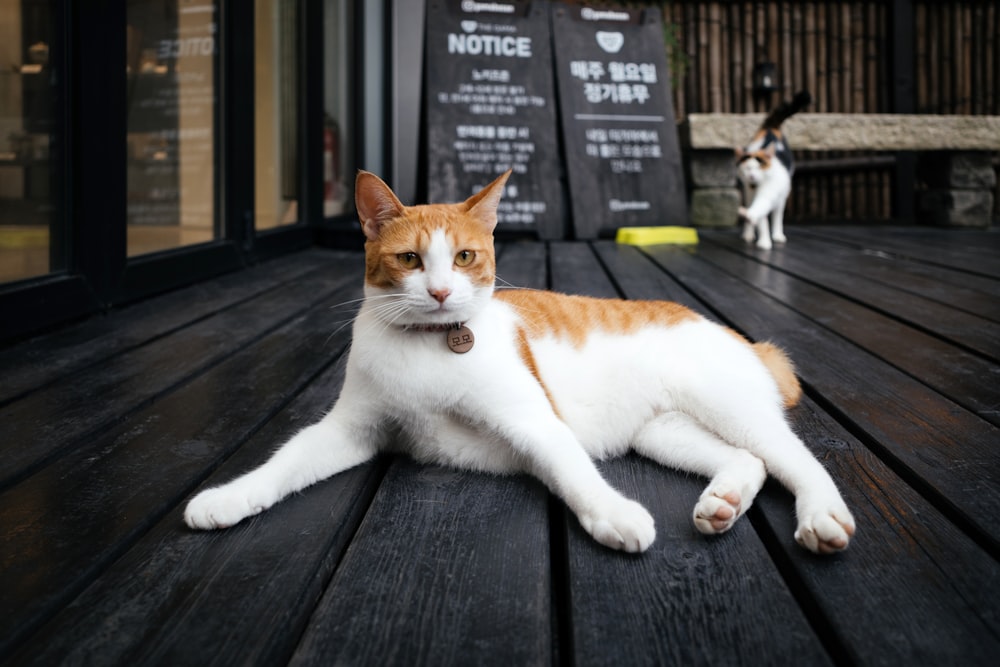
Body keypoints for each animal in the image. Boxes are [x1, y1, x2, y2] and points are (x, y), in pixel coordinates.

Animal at [184, 170, 856, 556]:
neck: (429, 346)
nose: (439, 293)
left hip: (729, 404)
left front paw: (612, 514)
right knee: (748, 461)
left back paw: (822, 516)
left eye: (464, 257)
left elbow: (573, 470)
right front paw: (229, 498)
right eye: (408, 259)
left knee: (796, 459)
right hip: (665, 432)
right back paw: (723, 502)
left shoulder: (532, 420)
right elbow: (285, 462)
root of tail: (741, 337)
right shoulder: (354, 431)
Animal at [736, 90, 812, 249]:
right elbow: (762, 220)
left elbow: (771, 215)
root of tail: (771, 128)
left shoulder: (774, 194)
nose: (751, 176)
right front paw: (763, 241)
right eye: (747, 168)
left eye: (759, 167)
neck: (760, 185)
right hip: (748, 194)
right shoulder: (753, 194)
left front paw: (774, 236)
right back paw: (748, 233)